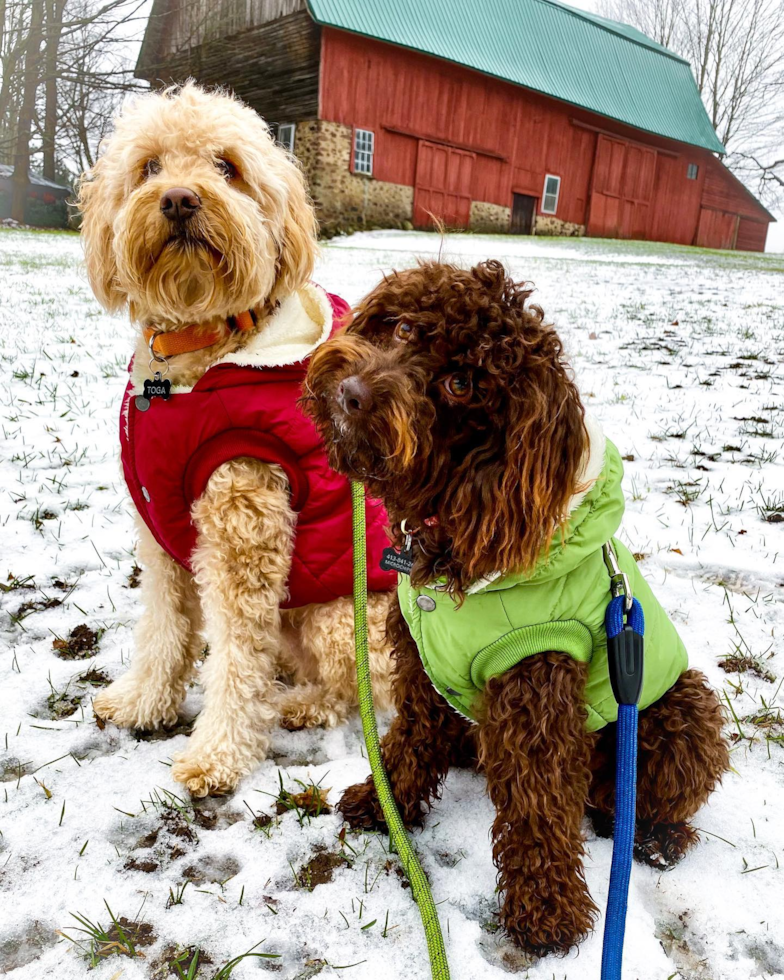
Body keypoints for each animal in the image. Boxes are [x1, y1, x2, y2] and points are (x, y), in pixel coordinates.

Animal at [79, 84, 392, 796]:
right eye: (149, 167)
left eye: (227, 167)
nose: (178, 199)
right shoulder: (163, 536)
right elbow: (163, 630)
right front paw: (142, 703)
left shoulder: (243, 528)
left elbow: (235, 660)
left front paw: (218, 753)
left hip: (341, 619)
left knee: (353, 690)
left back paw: (297, 705)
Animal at [304, 258, 732, 956]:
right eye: (401, 326)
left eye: (460, 383)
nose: (354, 394)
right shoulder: (419, 660)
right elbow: (411, 738)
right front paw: (384, 802)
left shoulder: (535, 680)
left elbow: (537, 802)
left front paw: (547, 912)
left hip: (681, 709)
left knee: (647, 795)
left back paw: (655, 836)